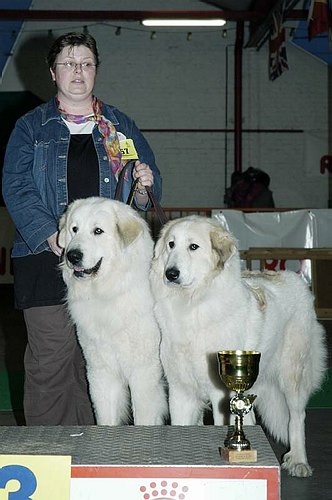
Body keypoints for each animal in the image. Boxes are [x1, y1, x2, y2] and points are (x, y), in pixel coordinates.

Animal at [58, 198, 167, 426]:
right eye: (74, 229)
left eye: (98, 231)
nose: (73, 255)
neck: (110, 290)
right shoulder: (100, 370)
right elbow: (105, 416)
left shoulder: (144, 372)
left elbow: (143, 417)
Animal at [150, 215, 326, 476]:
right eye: (171, 245)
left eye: (193, 247)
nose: (171, 273)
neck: (193, 304)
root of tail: (296, 279)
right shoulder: (181, 390)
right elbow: (181, 427)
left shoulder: (221, 394)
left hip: (292, 374)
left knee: (297, 416)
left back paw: (298, 461)